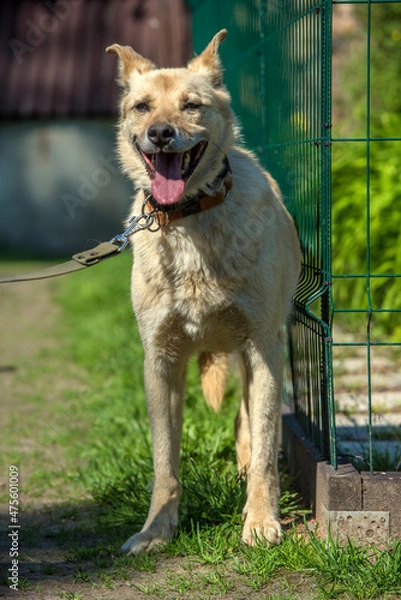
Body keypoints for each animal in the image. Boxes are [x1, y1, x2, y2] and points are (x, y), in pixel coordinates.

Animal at [106, 29, 300, 552]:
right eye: (141, 107)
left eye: (191, 105)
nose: (160, 133)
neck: (189, 218)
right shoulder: (161, 360)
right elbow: (165, 464)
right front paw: (157, 530)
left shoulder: (262, 346)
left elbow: (266, 447)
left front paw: (261, 520)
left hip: (264, 354)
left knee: (252, 424)